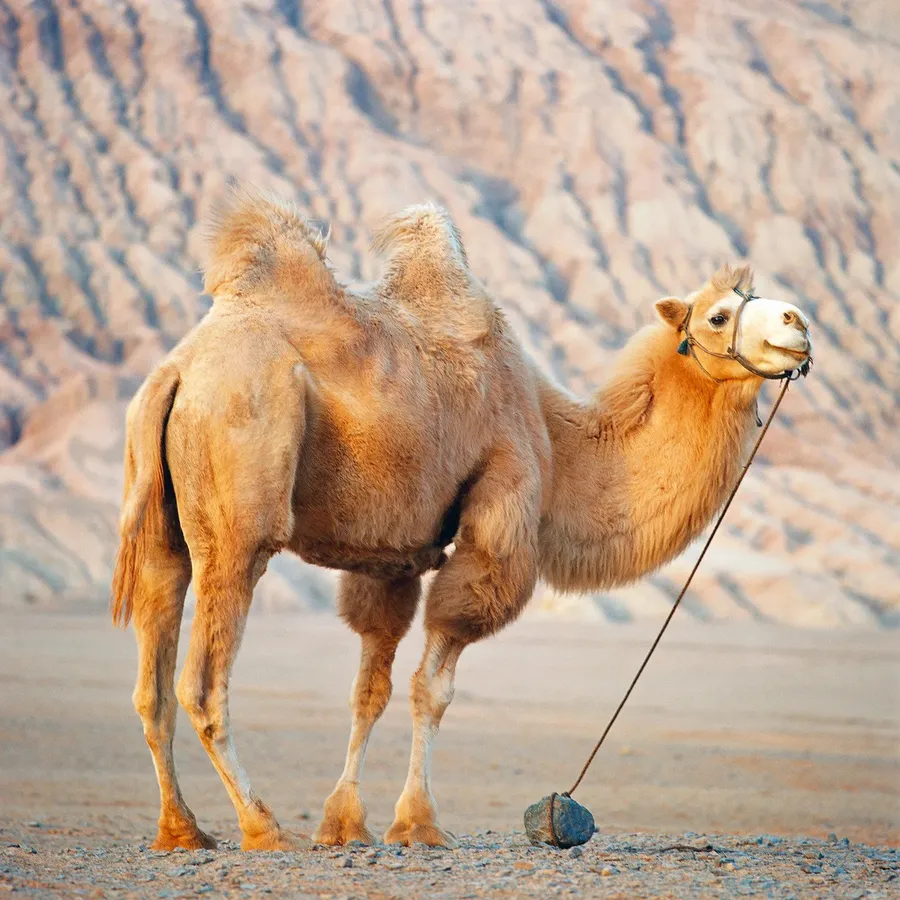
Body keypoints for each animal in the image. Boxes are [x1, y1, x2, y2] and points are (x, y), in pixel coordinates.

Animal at [111, 188, 811, 853]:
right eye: (719, 314)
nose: (798, 323)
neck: (557, 438)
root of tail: (177, 372)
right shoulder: (500, 507)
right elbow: (434, 686)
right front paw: (418, 824)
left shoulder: (389, 554)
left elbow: (370, 687)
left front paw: (345, 825)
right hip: (239, 504)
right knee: (203, 683)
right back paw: (262, 828)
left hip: (162, 525)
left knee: (152, 682)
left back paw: (182, 831)